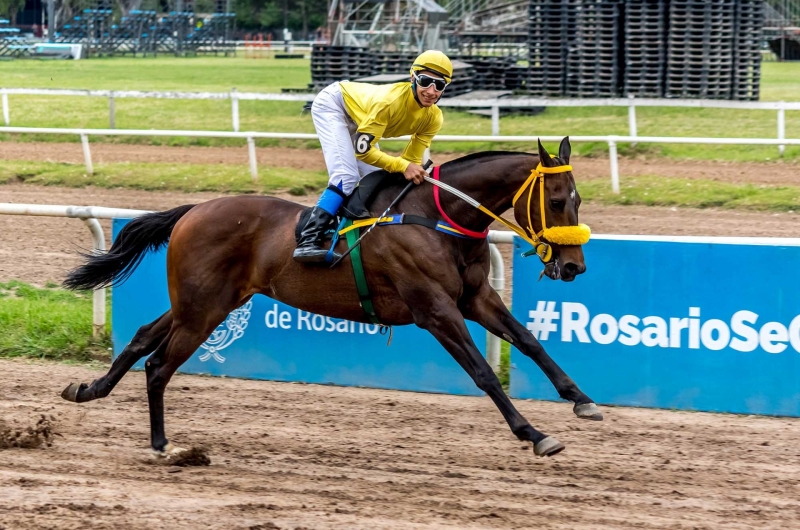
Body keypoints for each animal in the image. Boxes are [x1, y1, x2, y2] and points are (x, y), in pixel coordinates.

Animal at [61, 138, 600, 456]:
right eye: (556, 201)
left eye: (578, 199)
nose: (574, 266)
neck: (436, 218)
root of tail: (194, 210)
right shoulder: (435, 310)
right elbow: (483, 372)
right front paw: (535, 434)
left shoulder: (476, 298)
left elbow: (529, 341)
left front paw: (582, 401)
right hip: (203, 309)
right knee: (158, 365)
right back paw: (160, 443)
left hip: (207, 301)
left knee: (141, 337)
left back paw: (89, 389)